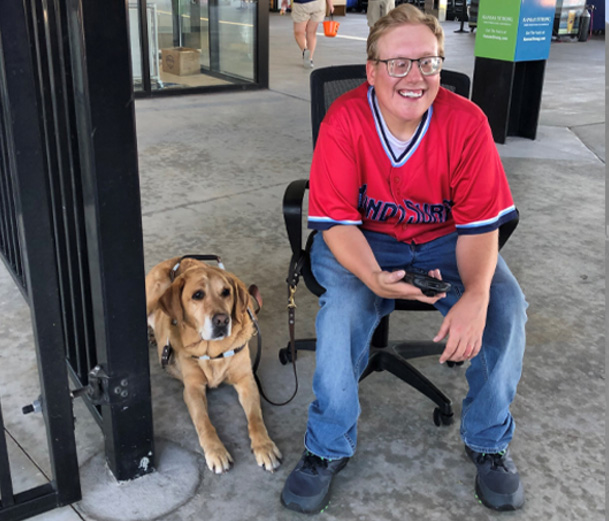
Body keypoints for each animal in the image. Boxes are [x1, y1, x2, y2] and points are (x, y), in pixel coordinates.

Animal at [146, 254, 282, 474]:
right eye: (197, 295)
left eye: (226, 292)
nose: (222, 320)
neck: (213, 351)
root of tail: (171, 261)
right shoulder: (192, 389)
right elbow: (204, 423)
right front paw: (216, 452)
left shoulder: (246, 381)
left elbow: (256, 418)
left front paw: (265, 446)